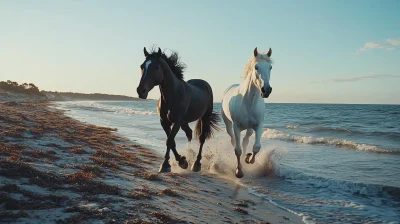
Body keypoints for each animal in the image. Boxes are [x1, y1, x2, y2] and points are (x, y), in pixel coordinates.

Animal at [220, 47, 274, 178]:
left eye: (270, 67)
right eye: (256, 67)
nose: (266, 90)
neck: (248, 102)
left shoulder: (259, 125)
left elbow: (256, 147)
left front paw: (249, 159)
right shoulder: (236, 127)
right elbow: (237, 150)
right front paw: (238, 171)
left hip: (249, 128)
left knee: (245, 140)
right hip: (229, 125)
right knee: (234, 141)